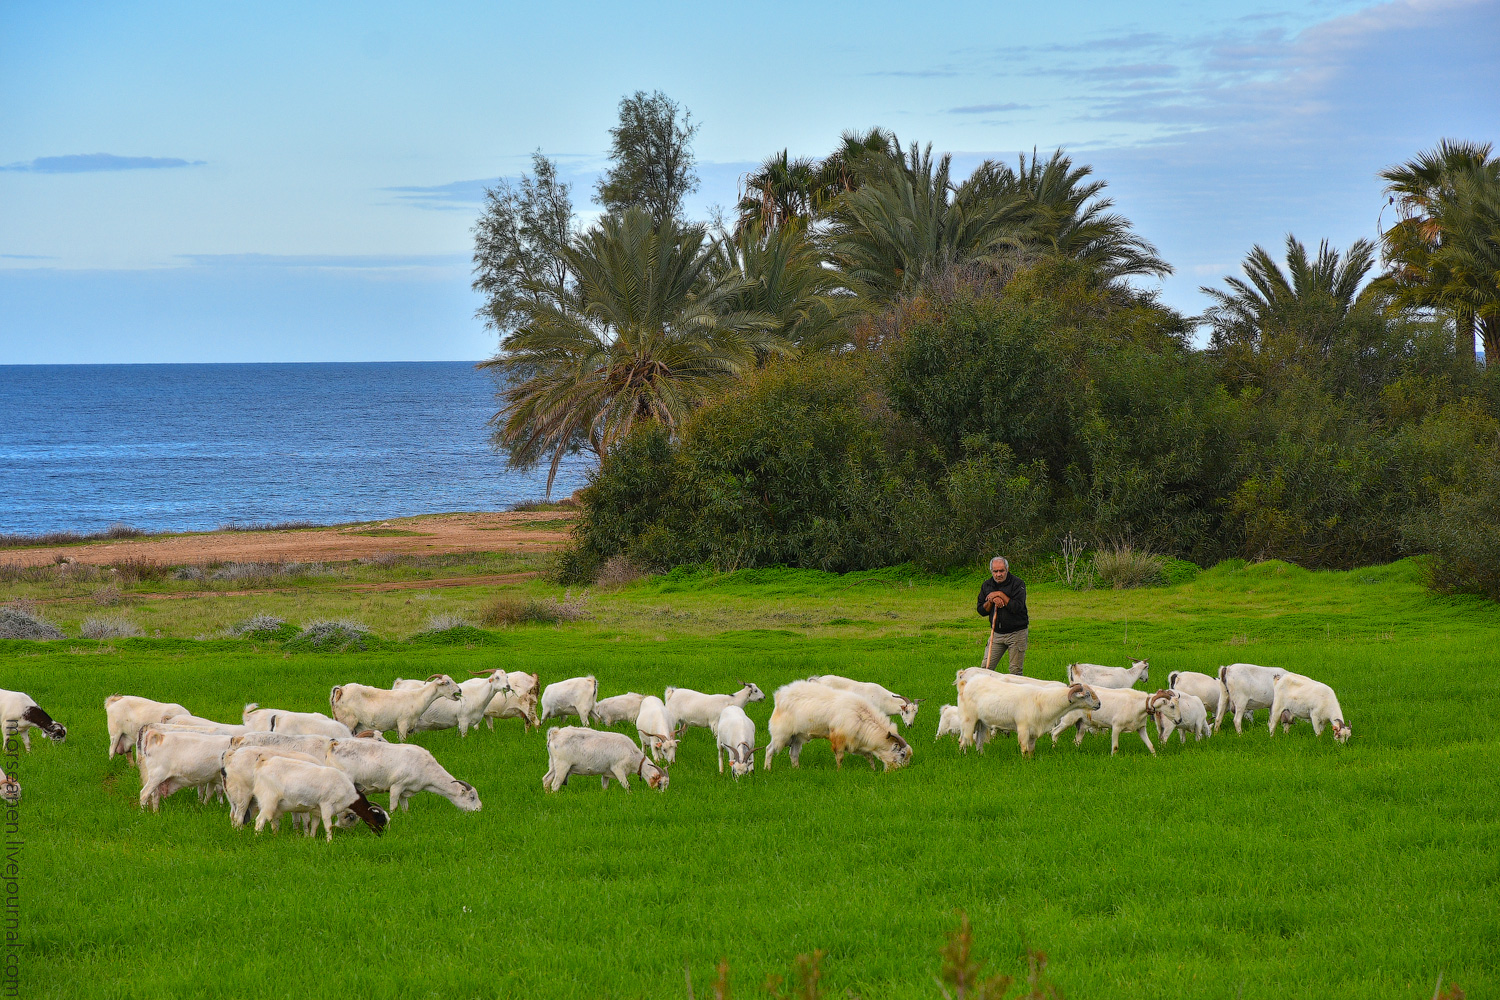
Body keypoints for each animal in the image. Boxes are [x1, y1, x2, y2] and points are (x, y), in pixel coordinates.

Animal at [249, 755, 387, 839]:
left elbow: (315, 825)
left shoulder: (317, 810)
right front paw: (329, 842)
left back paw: (275, 837)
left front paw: (311, 839)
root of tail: (262, 764)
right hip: (268, 799)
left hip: (275, 805)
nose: (381, 836)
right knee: (259, 821)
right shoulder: (326, 805)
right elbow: (328, 825)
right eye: (380, 821)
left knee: (273, 821)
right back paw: (257, 839)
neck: (346, 790)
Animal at [330, 671, 459, 743]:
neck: (417, 697)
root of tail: (340, 690)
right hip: (347, 720)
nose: (460, 690)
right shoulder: (403, 723)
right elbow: (403, 741)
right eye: (447, 682)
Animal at [768, 680, 906, 773]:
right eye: (902, 754)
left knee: (793, 754)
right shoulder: (839, 738)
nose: (901, 771)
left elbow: (869, 756)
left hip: (797, 737)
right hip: (782, 734)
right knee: (769, 749)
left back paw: (796, 770)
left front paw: (873, 770)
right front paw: (839, 771)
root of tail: (779, 695)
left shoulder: (858, 741)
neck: (862, 715)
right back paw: (767, 769)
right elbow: (840, 757)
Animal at [960, 677, 1104, 755]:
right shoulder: (1023, 728)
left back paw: (981, 755)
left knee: (979, 741)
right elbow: (1024, 748)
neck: (1042, 701)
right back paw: (964, 755)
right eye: (1087, 695)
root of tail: (970, 682)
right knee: (963, 740)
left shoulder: (1034, 730)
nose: (1099, 704)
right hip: (969, 719)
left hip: (982, 722)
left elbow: (1031, 750)